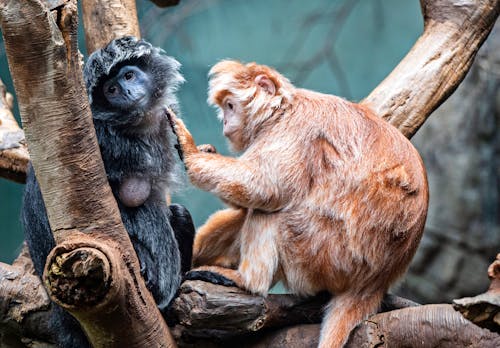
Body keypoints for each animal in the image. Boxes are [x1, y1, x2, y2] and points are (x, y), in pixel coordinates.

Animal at [170, 60, 428, 348]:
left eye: (230, 106)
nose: (225, 122)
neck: (283, 110)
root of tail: (374, 281)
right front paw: (206, 152)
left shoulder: (295, 130)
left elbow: (265, 188)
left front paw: (190, 151)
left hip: (324, 255)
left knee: (271, 212)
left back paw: (246, 281)